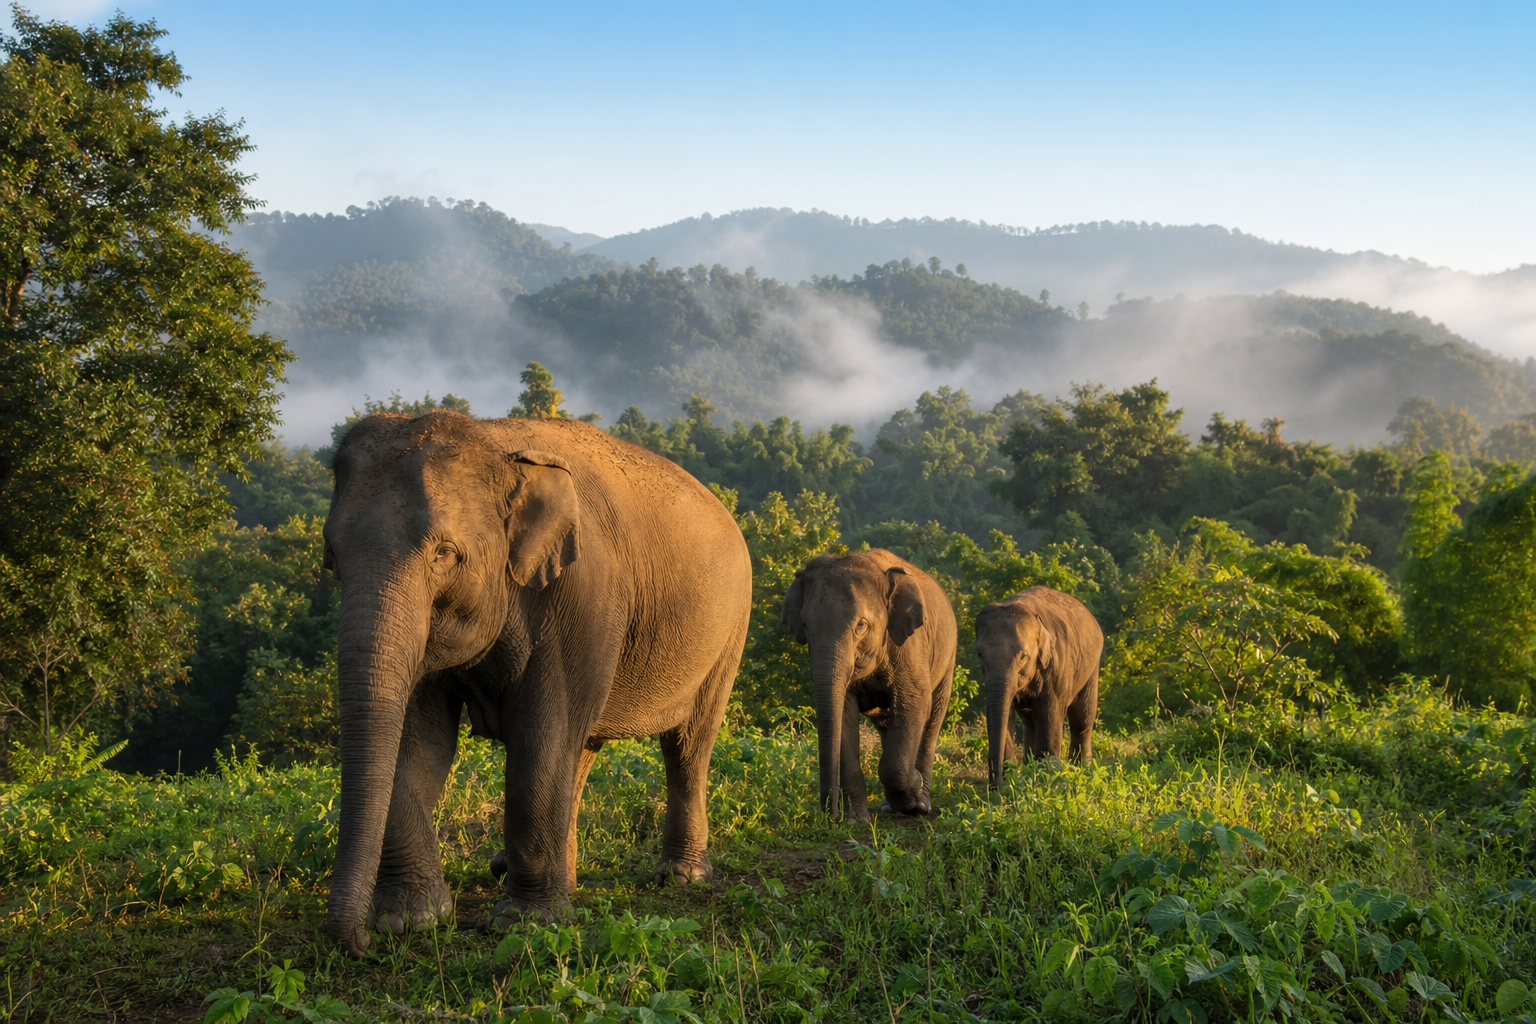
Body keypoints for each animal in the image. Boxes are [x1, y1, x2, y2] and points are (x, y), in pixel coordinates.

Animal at [320, 410, 751, 958]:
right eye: (332, 555)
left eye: (445, 553)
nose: (356, 944)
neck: (494, 443)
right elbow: (418, 743)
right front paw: (410, 920)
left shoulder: (580, 598)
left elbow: (540, 736)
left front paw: (522, 924)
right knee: (582, 748)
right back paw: (557, 879)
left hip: (730, 630)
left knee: (686, 745)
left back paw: (680, 876)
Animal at [781, 550, 958, 823]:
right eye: (805, 625)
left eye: (861, 625)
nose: (831, 816)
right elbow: (844, 715)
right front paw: (856, 821)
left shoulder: (909, 647)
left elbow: (913, 702)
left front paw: (914, 793)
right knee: (887, 723)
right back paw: (891, 805)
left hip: (947, 659)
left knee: (932, 720)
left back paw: (921, 803)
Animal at [975, 586, 1103, 788]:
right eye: (979, 654)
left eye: (1023, 655)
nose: (996, 783)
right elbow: (1000, 712)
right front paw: (1013, 782)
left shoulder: (1057, 664)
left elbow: (1049, 713)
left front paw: (1048, 779)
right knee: (1030, 724)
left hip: (1091, 666)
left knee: (1081, 718)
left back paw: (1081, 769)